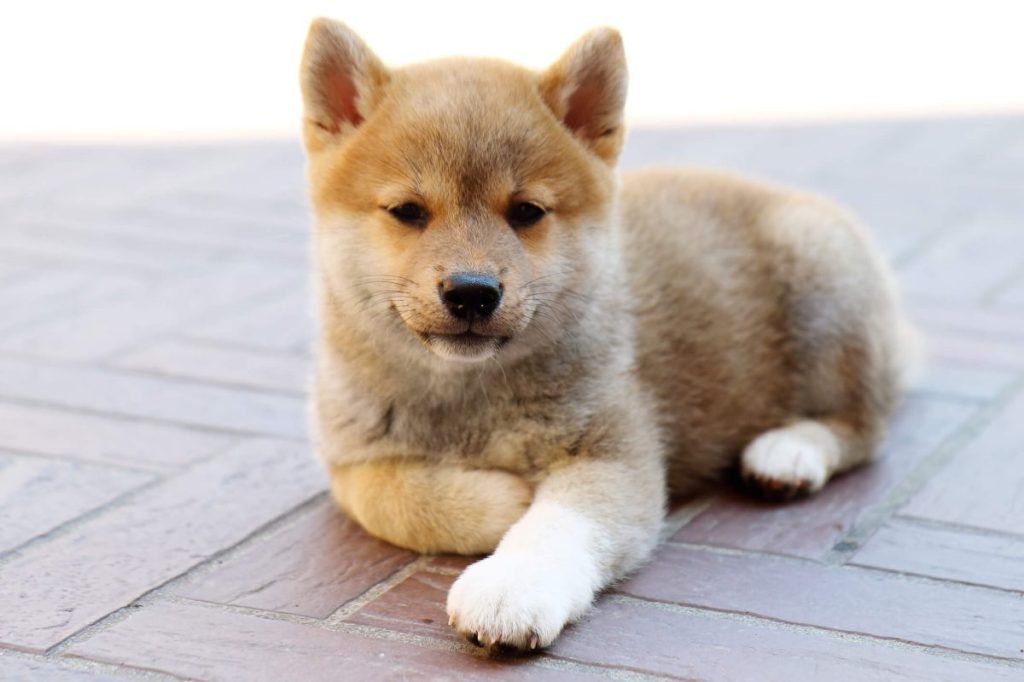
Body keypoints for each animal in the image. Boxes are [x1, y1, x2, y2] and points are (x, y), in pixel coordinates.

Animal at [299, 18, 913, 651]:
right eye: (408, 211)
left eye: (526, 212)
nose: (472, 291)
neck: (468, 395)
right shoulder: (349, 458)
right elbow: (395, 500)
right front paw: (505, 499)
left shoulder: (612, 452)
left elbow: (557, 523)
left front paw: (512, 584)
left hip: (821, 280)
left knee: (863, 426)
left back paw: (788, 452)